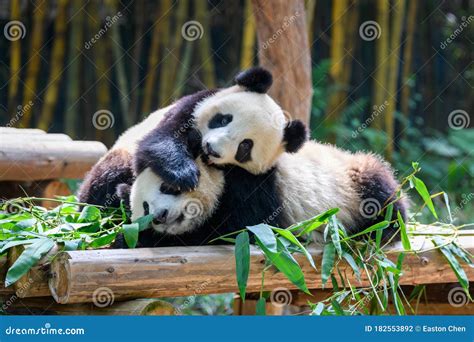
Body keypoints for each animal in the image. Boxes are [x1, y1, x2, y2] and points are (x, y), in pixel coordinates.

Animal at [76, 66, 306, 206]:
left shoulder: (257, 178)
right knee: (108, 175)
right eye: (224, 119)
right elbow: (159, 141)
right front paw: (184, 175)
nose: (211, 149)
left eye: (245, 147)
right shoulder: (191, 107)